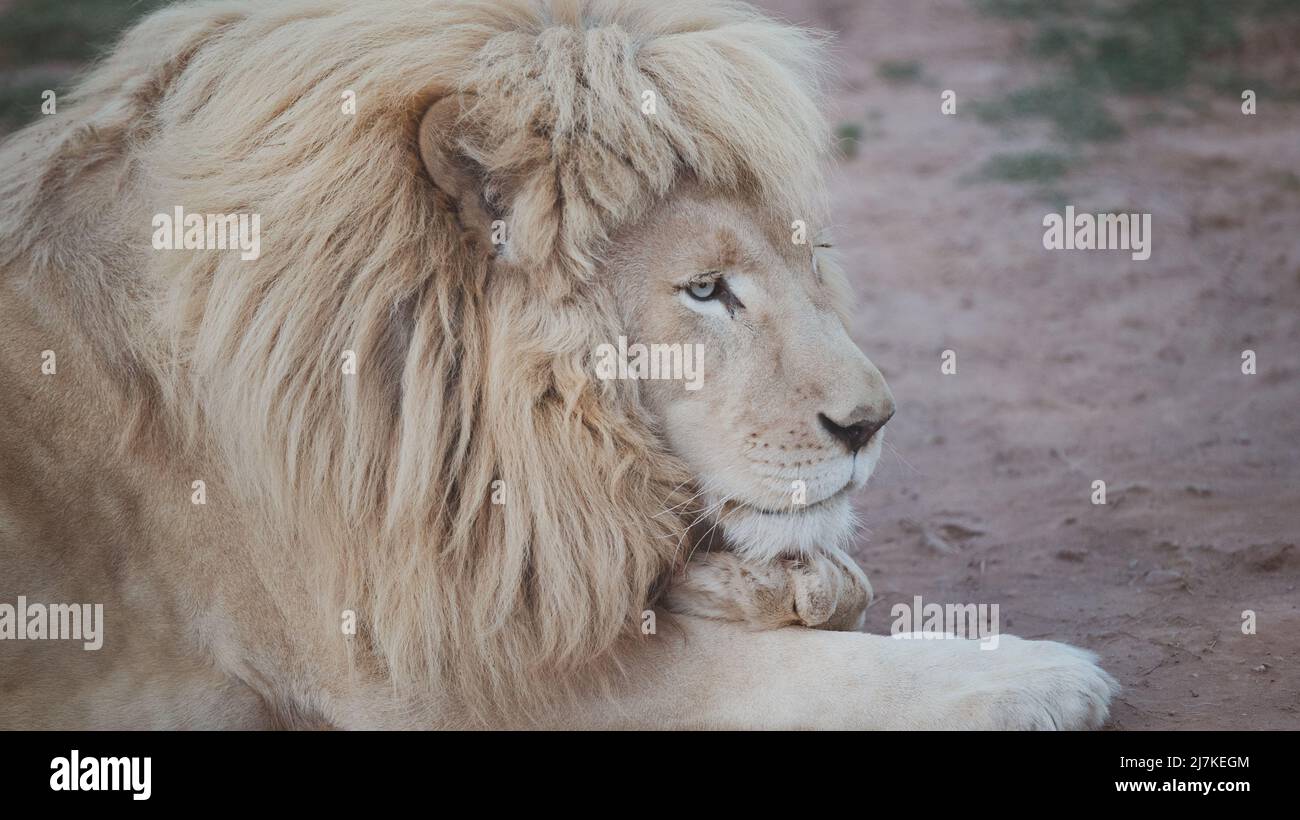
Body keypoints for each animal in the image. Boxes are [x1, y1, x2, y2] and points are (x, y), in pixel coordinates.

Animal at [0, 0, 1118, 732]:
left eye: (812, 260)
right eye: (705, 290)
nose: (871, 426)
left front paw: (778, 583)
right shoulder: (441, 675)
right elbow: (787, 679)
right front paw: (1038, 675)